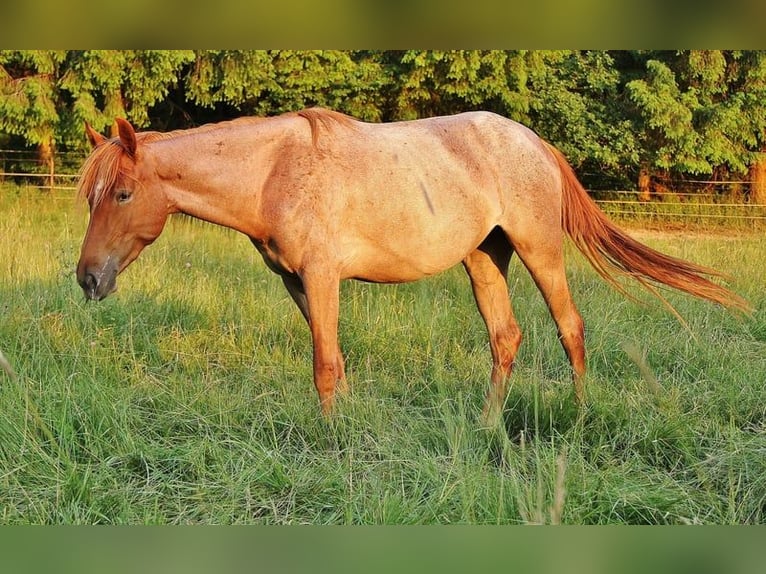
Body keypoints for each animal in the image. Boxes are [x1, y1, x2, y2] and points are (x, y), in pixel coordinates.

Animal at [75, 108, 750, 418]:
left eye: (123, 193)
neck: (275, 173)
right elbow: (334, 360)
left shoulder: (321, 276)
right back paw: (487, 427)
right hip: (484, 257)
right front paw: (344, 427)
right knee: (506, 337)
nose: (88, 277)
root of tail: (532, 140)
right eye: (92, 195)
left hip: (539, 250)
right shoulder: (298, 283)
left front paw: (329, 442)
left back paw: (581, 418)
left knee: (570, 327)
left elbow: (323, 366)